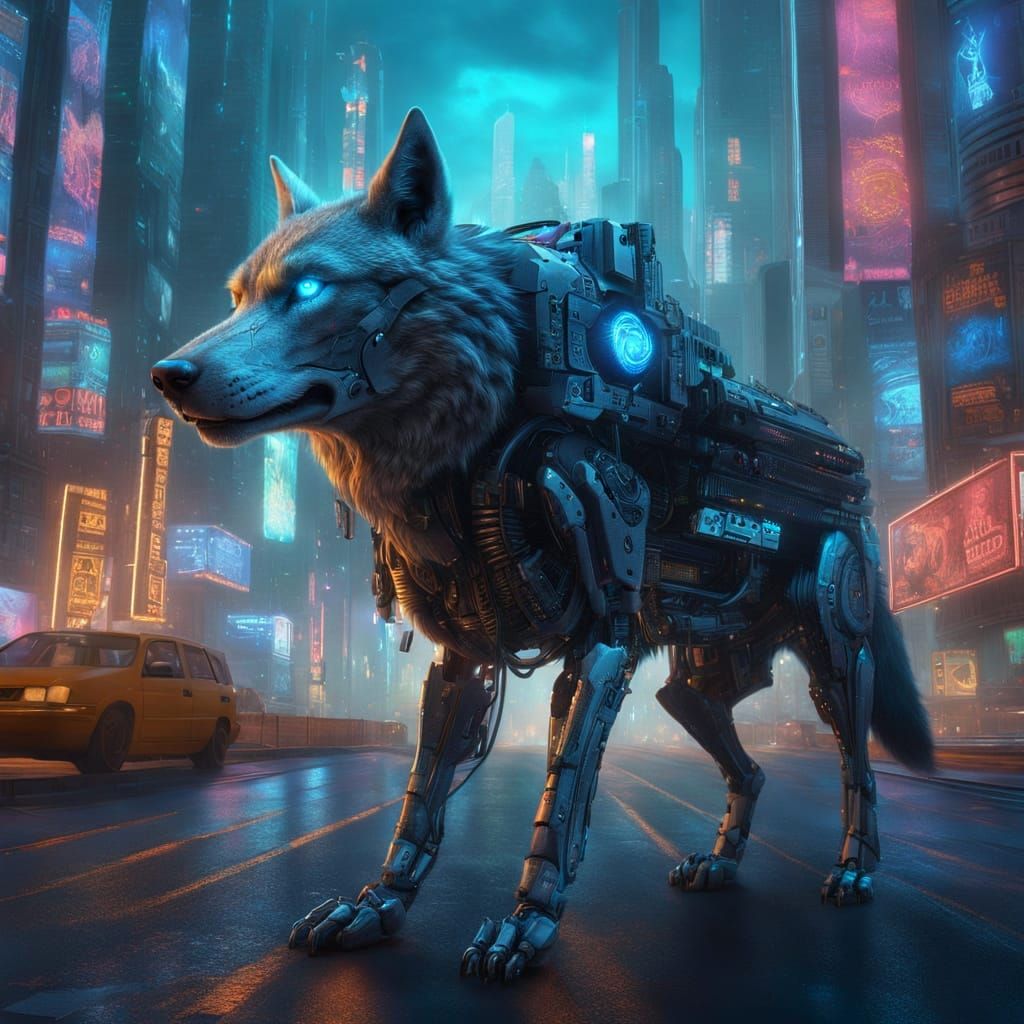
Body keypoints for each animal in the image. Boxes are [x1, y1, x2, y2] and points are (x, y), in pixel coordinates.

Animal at [152, 108, 933, 983]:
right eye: (239, 296)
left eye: (312, 289)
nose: (168, 374)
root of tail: (855, 464)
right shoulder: (464, 654)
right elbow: (423, 793)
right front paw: (378, 904)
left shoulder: (602, 640)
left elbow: (561, 791)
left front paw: (526, 923)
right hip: (699, 680)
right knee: (751, 764)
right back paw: (723, 860)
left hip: (832, 645)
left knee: (855, 753)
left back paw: (855, 867)